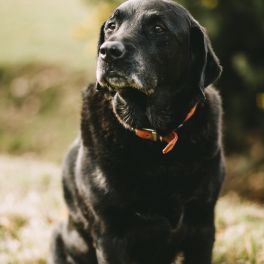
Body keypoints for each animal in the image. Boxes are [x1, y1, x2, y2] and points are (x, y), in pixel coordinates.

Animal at [49, 1, 225, 262]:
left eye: (158, 28)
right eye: (111, 26)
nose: (108, 51)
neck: (156, 133)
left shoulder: (202, 226)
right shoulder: (110, 233)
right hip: (59, 236)